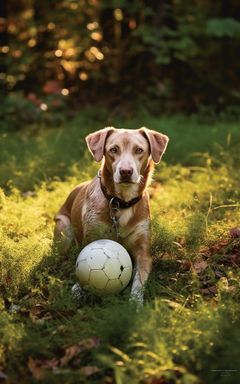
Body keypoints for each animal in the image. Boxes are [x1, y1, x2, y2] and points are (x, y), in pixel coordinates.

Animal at [54, 127, 169, 304]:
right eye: (113, 150)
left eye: (139, 150)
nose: (126, 171)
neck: (120, 203)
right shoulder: (91, 238)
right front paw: (78, 288)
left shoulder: (143, 251)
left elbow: (139, 280)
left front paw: (135, 303)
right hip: (64, 231)